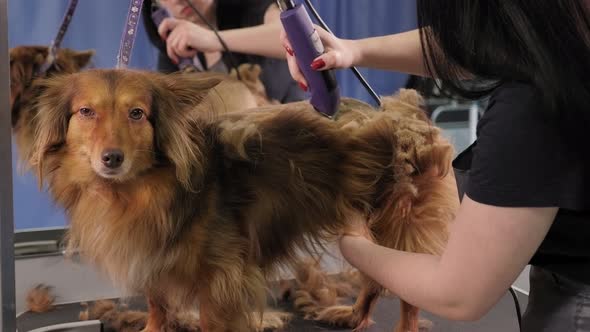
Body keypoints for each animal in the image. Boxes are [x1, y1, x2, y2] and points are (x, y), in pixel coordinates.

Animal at [12, 66, 458, 330]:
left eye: (136, 113)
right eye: (86, 112)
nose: (112, 158)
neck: (138, 190)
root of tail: (406, 112)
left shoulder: (221, 278)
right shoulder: (155, 261)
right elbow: (157, 306)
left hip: (401, 226)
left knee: (407, 296)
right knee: (374, 281)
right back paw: (353, 315)